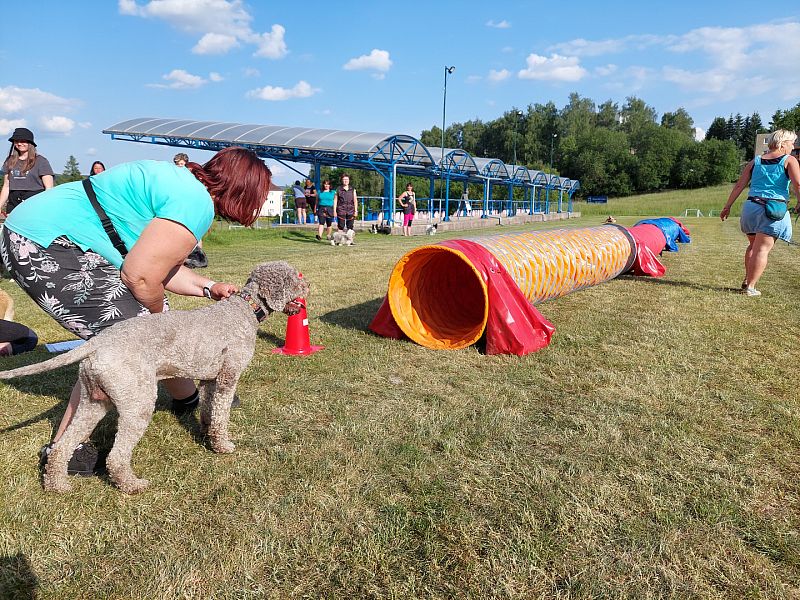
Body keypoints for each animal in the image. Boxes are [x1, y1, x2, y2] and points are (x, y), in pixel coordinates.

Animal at [0, 260, 310, 494]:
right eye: (295, 279)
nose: (308, 285)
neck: (244, 309)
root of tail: (98, 343)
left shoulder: (209, 380)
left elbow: (208, 412)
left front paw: (206, 435)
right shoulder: (227, 378)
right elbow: (221, 416)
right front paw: (223, 446)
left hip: (92, 403)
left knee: (62, 446)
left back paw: (57, 485)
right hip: (137, 403)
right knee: (116, 456)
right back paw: (132, 485)